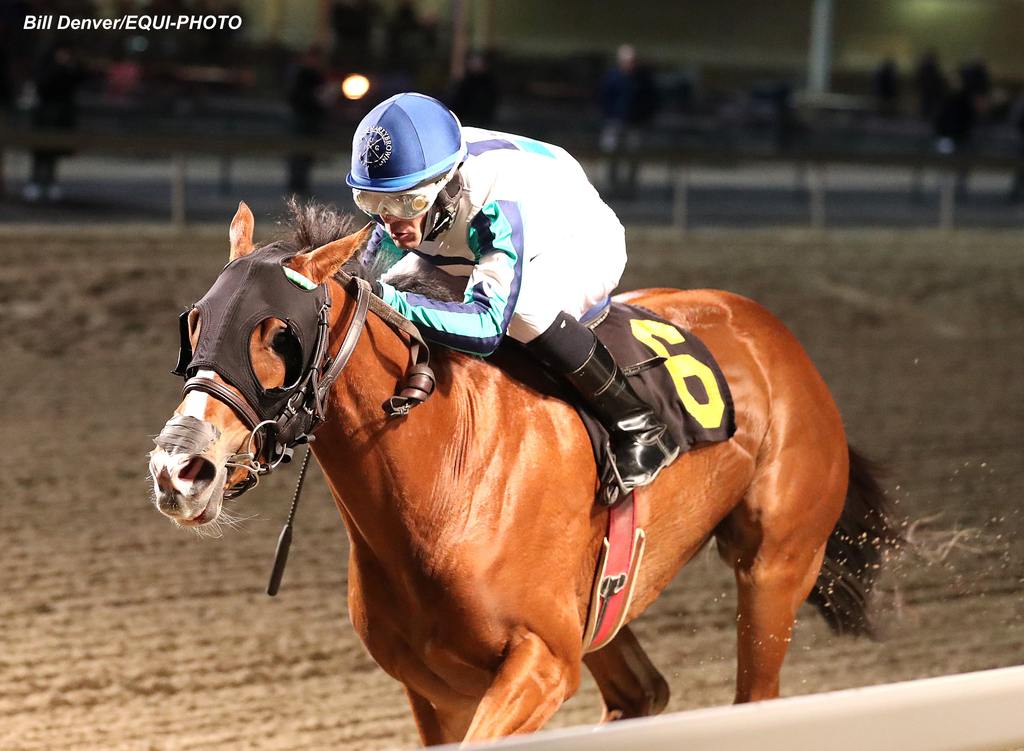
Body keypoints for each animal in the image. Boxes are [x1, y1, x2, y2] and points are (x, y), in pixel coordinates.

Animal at [148, 200, 901, 745]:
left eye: (280, 336)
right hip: (604, 606)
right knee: (643, 692)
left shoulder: (539, 662)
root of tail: (777, 335)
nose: (179, 470)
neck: (444, 481)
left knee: (755, 688)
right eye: (195, 322)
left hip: (775, 565)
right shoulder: (435, 688)